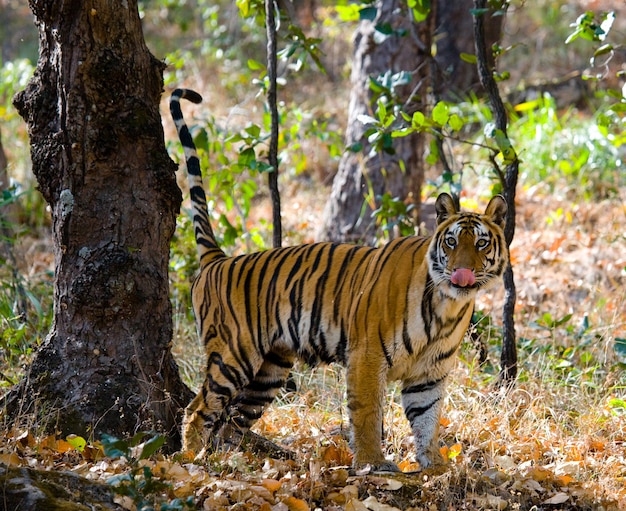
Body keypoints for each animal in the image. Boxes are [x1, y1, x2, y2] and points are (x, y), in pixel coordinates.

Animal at [169, 87, 508, 472]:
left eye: (481, 243)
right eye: (451, 242)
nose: (461, 271)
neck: (447, 306)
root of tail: (218, 259)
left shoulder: (429, 374)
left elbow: (427, 419)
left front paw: (434, 465)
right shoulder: (367, 355)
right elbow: (367, 412)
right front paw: (373, 463)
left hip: (269, 371)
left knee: (233, 422)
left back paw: (231, 465)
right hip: (233, 354)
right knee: (198, 409)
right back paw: (190, 462)